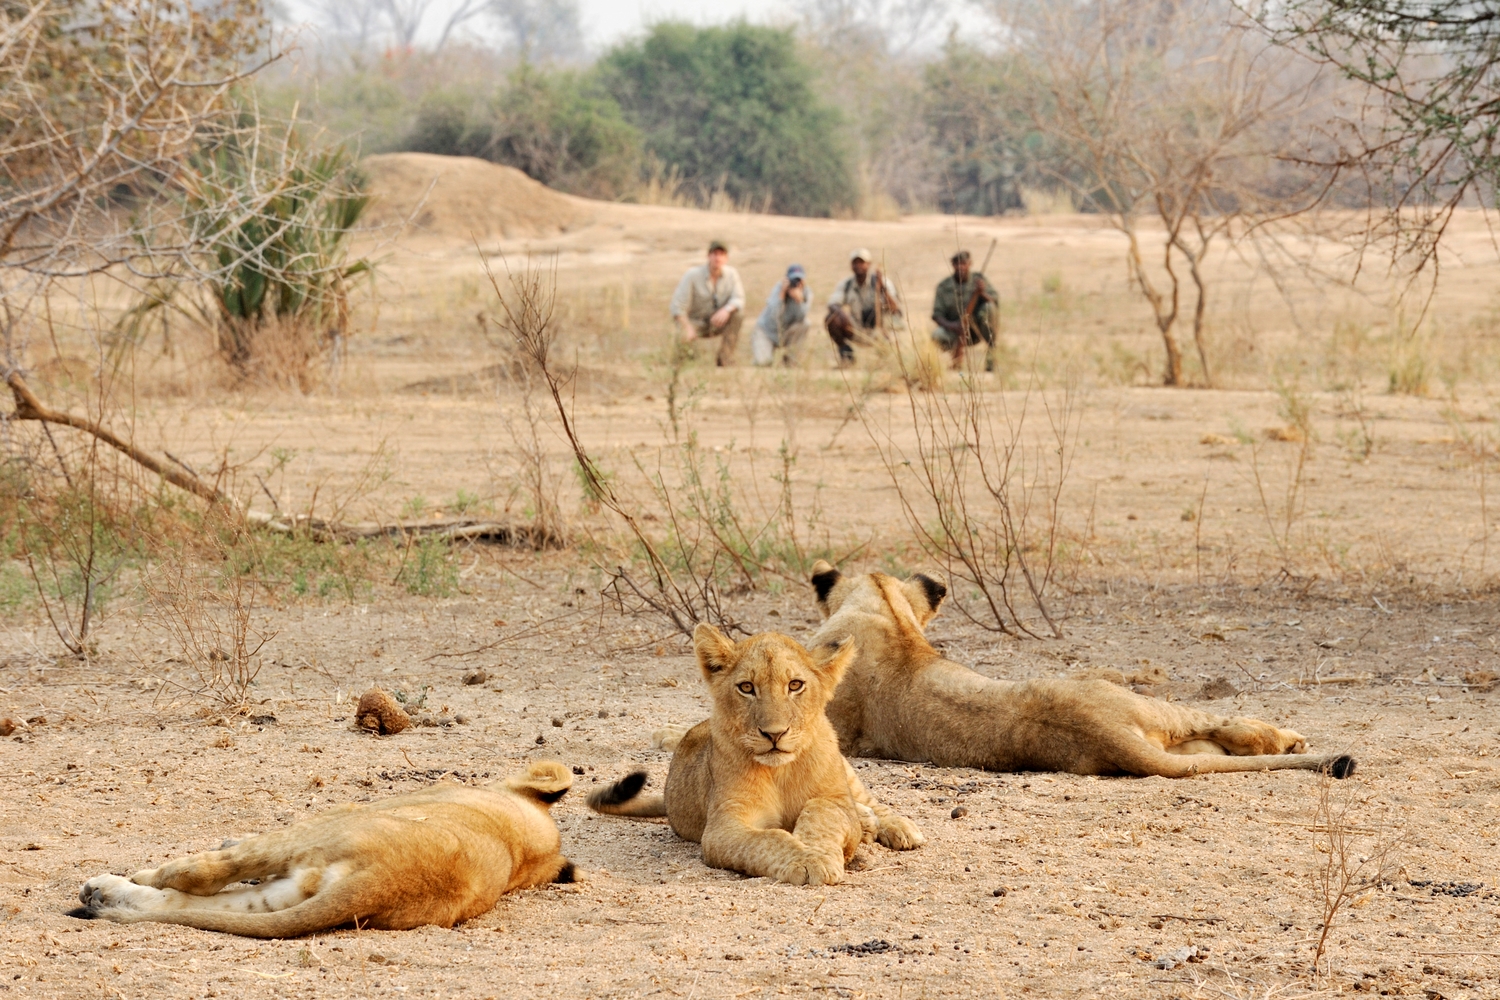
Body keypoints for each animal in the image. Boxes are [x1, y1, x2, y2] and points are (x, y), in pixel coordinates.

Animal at [70, 761, 576, 937]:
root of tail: (384, 882)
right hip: (291, 888)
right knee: (191, 904)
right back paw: (102, 895)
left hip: (310, 832)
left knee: (199, 875)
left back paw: (113, 883)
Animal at [588, 625, 924, 885]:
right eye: (747, 687)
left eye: (795, 685)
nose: (774, 734)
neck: (780, 771)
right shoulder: (725, 826)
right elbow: (768, 839)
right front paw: (808, 859)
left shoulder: (836, 800)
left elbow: (821, 811)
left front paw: (822, 852)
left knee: (869, 801)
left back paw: (896, 827)